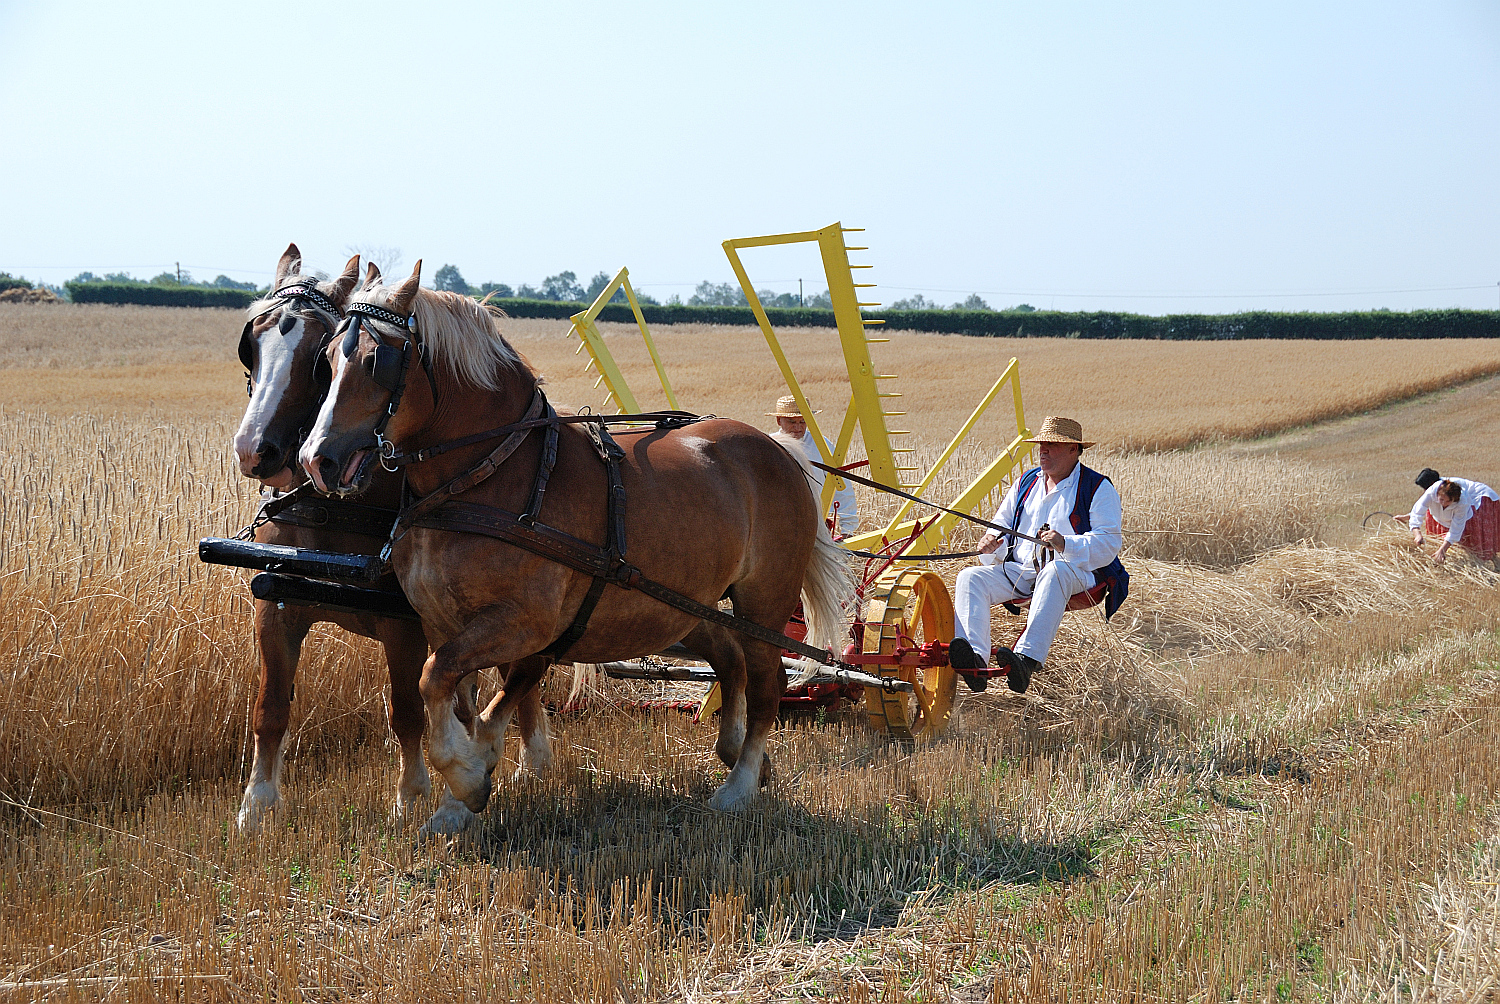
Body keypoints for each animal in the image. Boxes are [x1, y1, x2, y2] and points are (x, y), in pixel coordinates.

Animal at [234, 246, 558, 834]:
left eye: (316, 354)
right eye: (253, 343)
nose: (255, 451)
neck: (334, 505)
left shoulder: (404, 622)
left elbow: (406, 712)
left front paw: (411, 796)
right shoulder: (276, 604)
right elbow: (270, 709)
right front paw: (258, 806)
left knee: (523, 675)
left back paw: (532, 764)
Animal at [301, 262, 858, 816]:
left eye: (375, 361)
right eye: (326, 358)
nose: (316, 459)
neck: (485, 477)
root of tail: (780, 449)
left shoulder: (525, 623)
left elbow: (440, 681)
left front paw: (466, 776)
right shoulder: (443, 623)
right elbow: (459, 698)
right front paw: (466, 785)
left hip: (764, 601)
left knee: (767, 682)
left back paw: (738, 786)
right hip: (680, 605)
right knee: (729, 658)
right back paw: (739, 753)